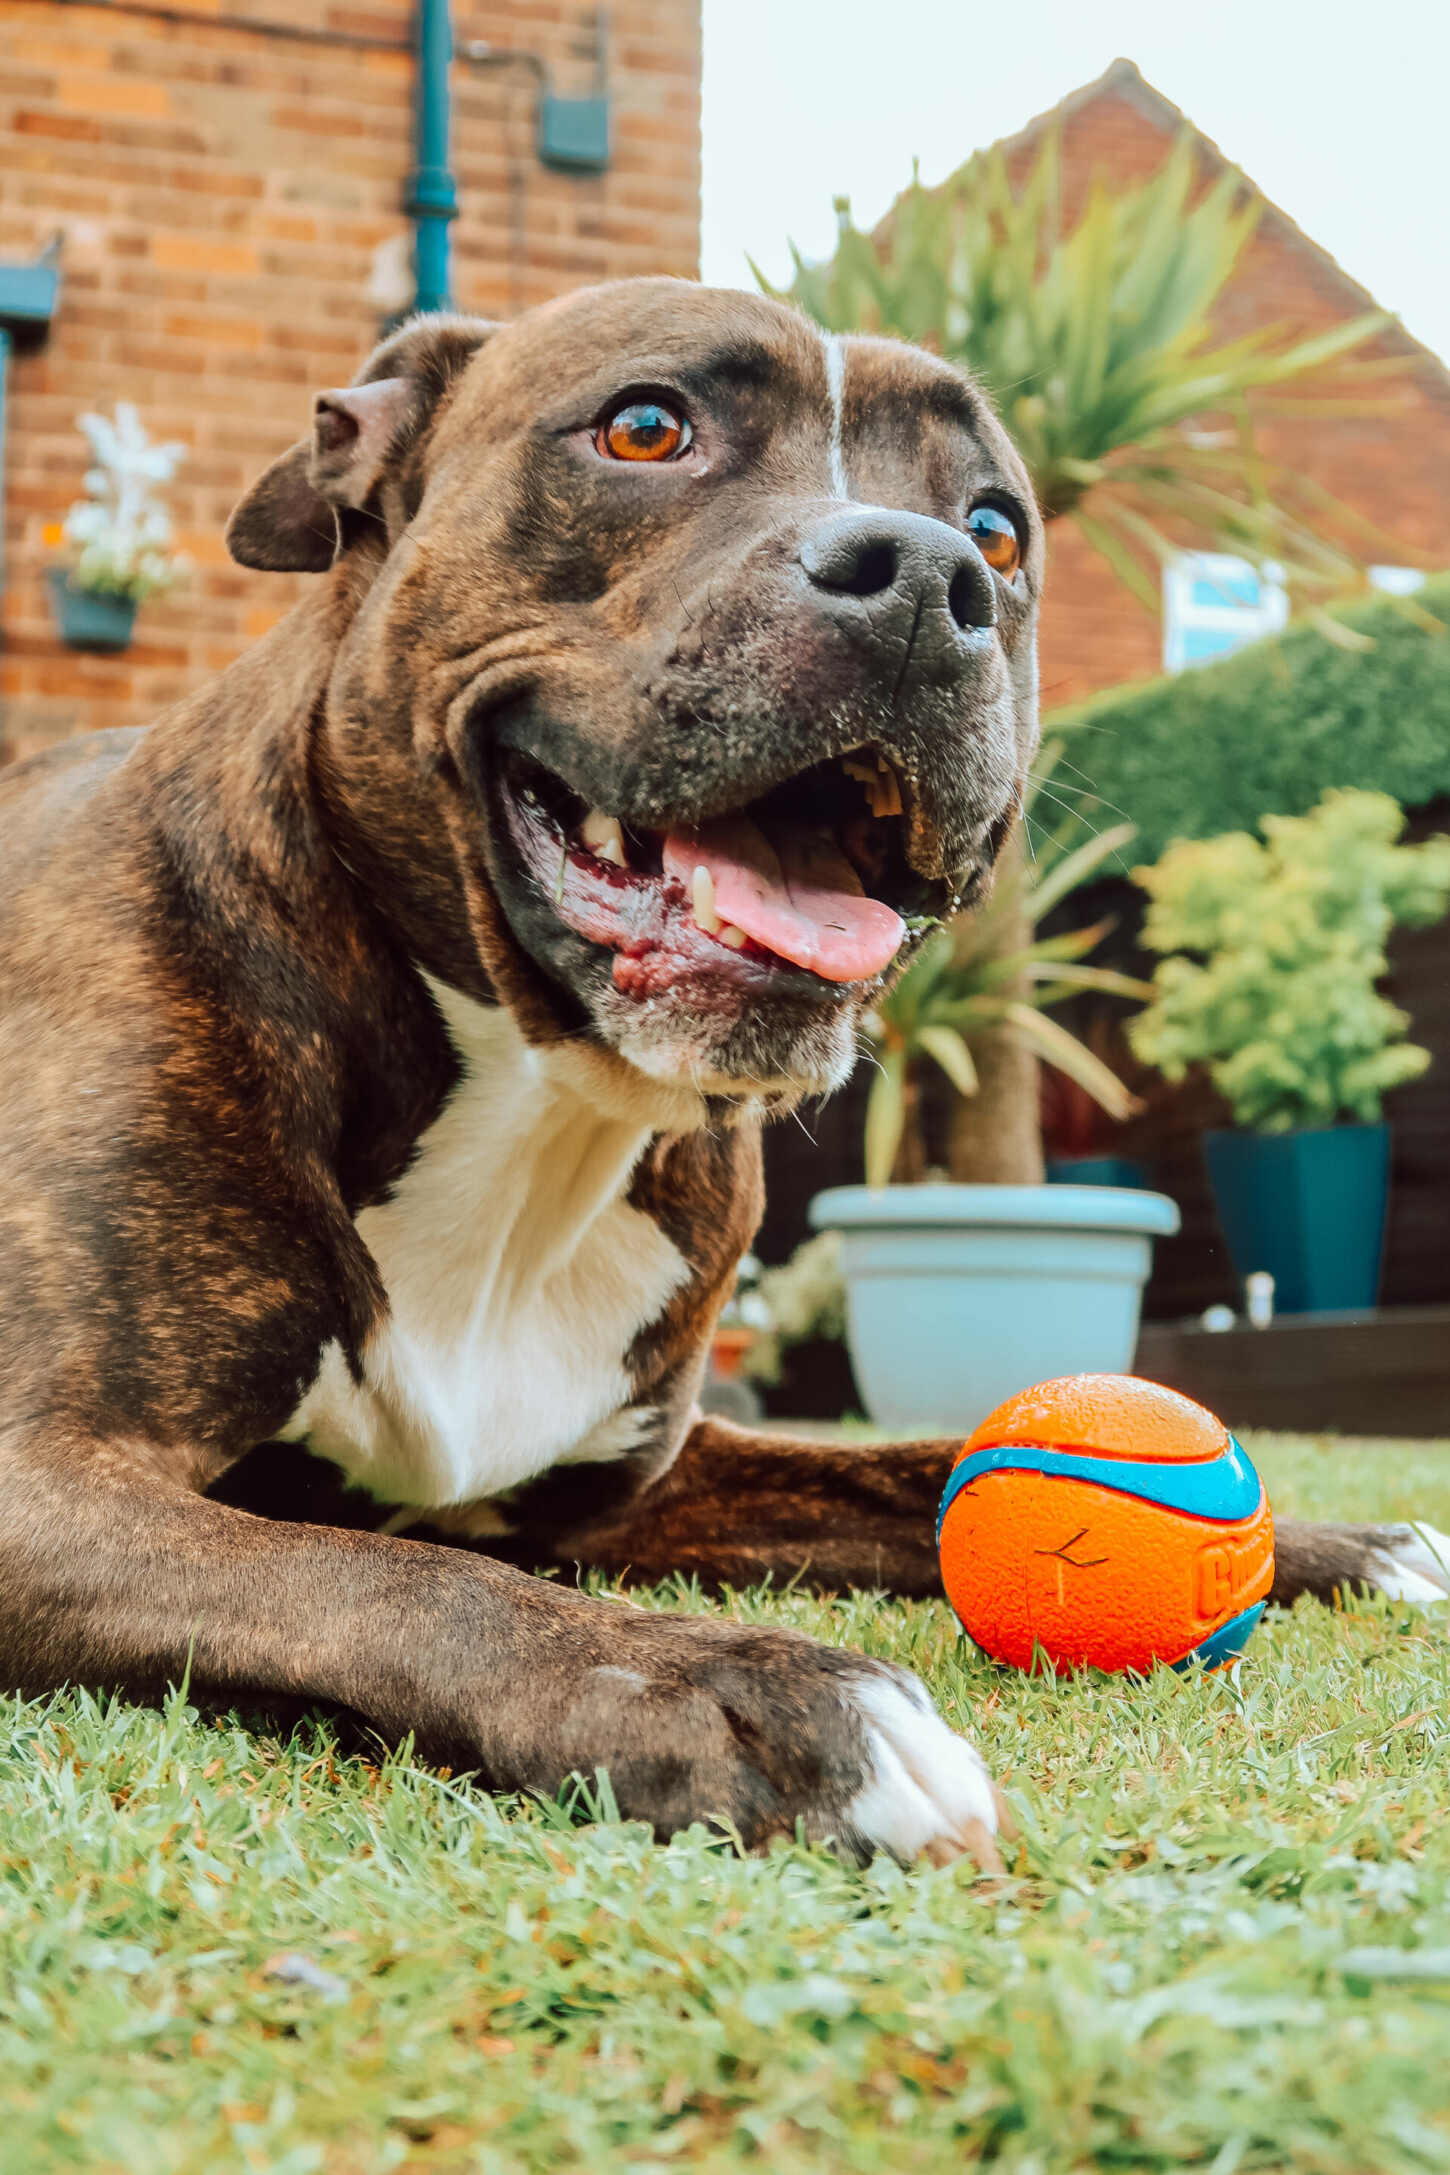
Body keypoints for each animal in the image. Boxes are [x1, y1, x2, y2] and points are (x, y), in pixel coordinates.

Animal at [2, 276, 1450, 1870]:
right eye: (646, 426)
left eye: (997, 527)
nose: (927, 577)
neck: (539, 1116)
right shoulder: (47, 1482)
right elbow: (384, 1574)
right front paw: (743, 1695)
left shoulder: (639, 1480)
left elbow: (909, 1459)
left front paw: (1336, 1542)